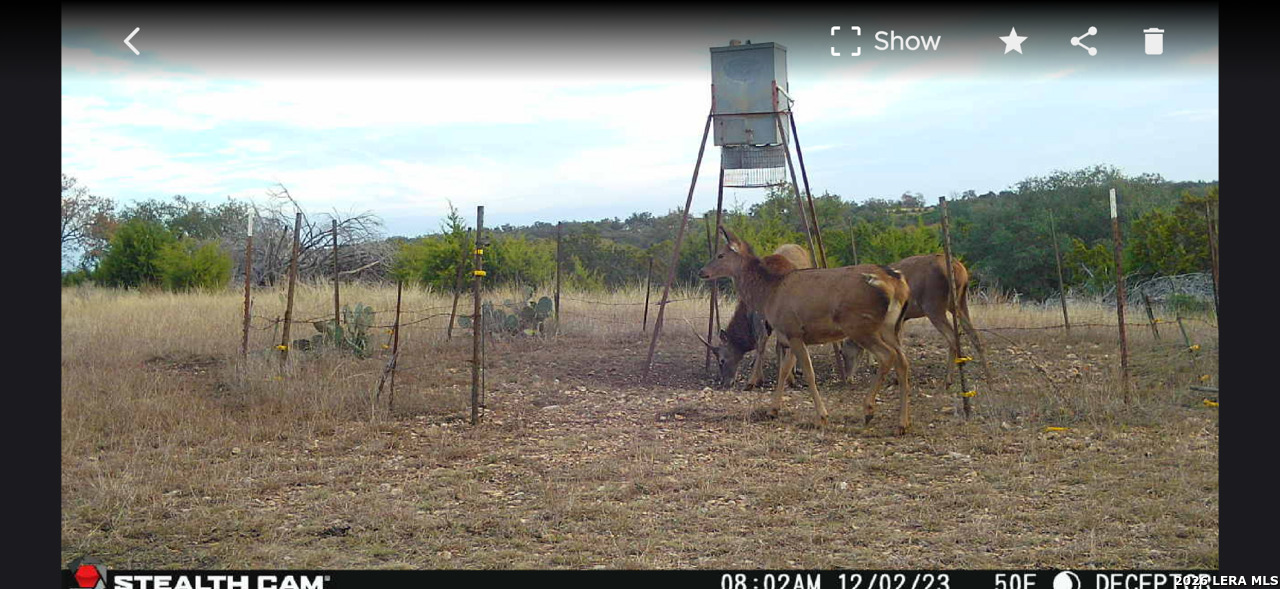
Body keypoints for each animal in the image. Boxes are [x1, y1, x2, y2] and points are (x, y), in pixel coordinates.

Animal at [699, 227, 914, 433]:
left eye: (720, 255)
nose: (702, 271)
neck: (769, 293)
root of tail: (897, 282)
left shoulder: (792, 329)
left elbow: (809, 373)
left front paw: (822, 417)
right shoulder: (791, 335)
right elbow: (785, 370)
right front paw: (772, 410)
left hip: (860, 325)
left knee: (887, 356)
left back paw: (869, 410)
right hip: (890, 326)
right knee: (903, 361)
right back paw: (902, 424)